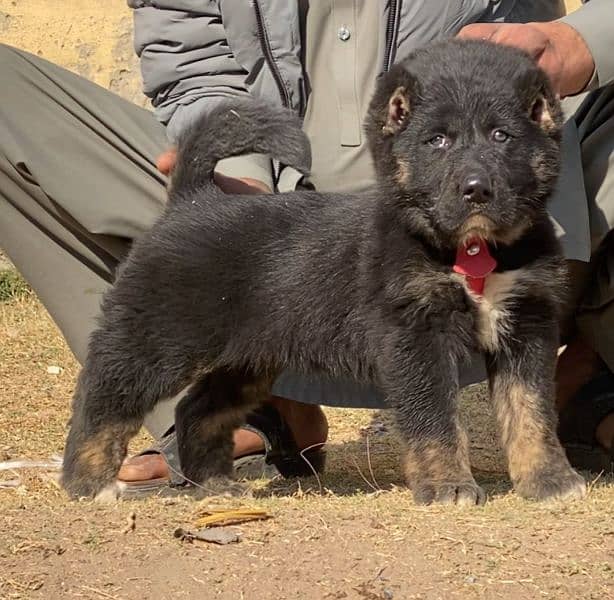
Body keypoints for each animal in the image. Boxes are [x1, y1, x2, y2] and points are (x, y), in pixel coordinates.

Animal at [61, 39, 588, 504]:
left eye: (502, 136)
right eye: (437, 141)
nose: (476, 189)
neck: (470, 248)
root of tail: (193, 200)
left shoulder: (527, 324)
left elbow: (532, 413)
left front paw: (548, 480)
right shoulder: (415, 335)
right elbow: (435, 418)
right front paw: (448, 486)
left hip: (246, 358)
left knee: (198, 410)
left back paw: (214, 485)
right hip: (159, 338)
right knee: (105, 396)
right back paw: (89, 481)